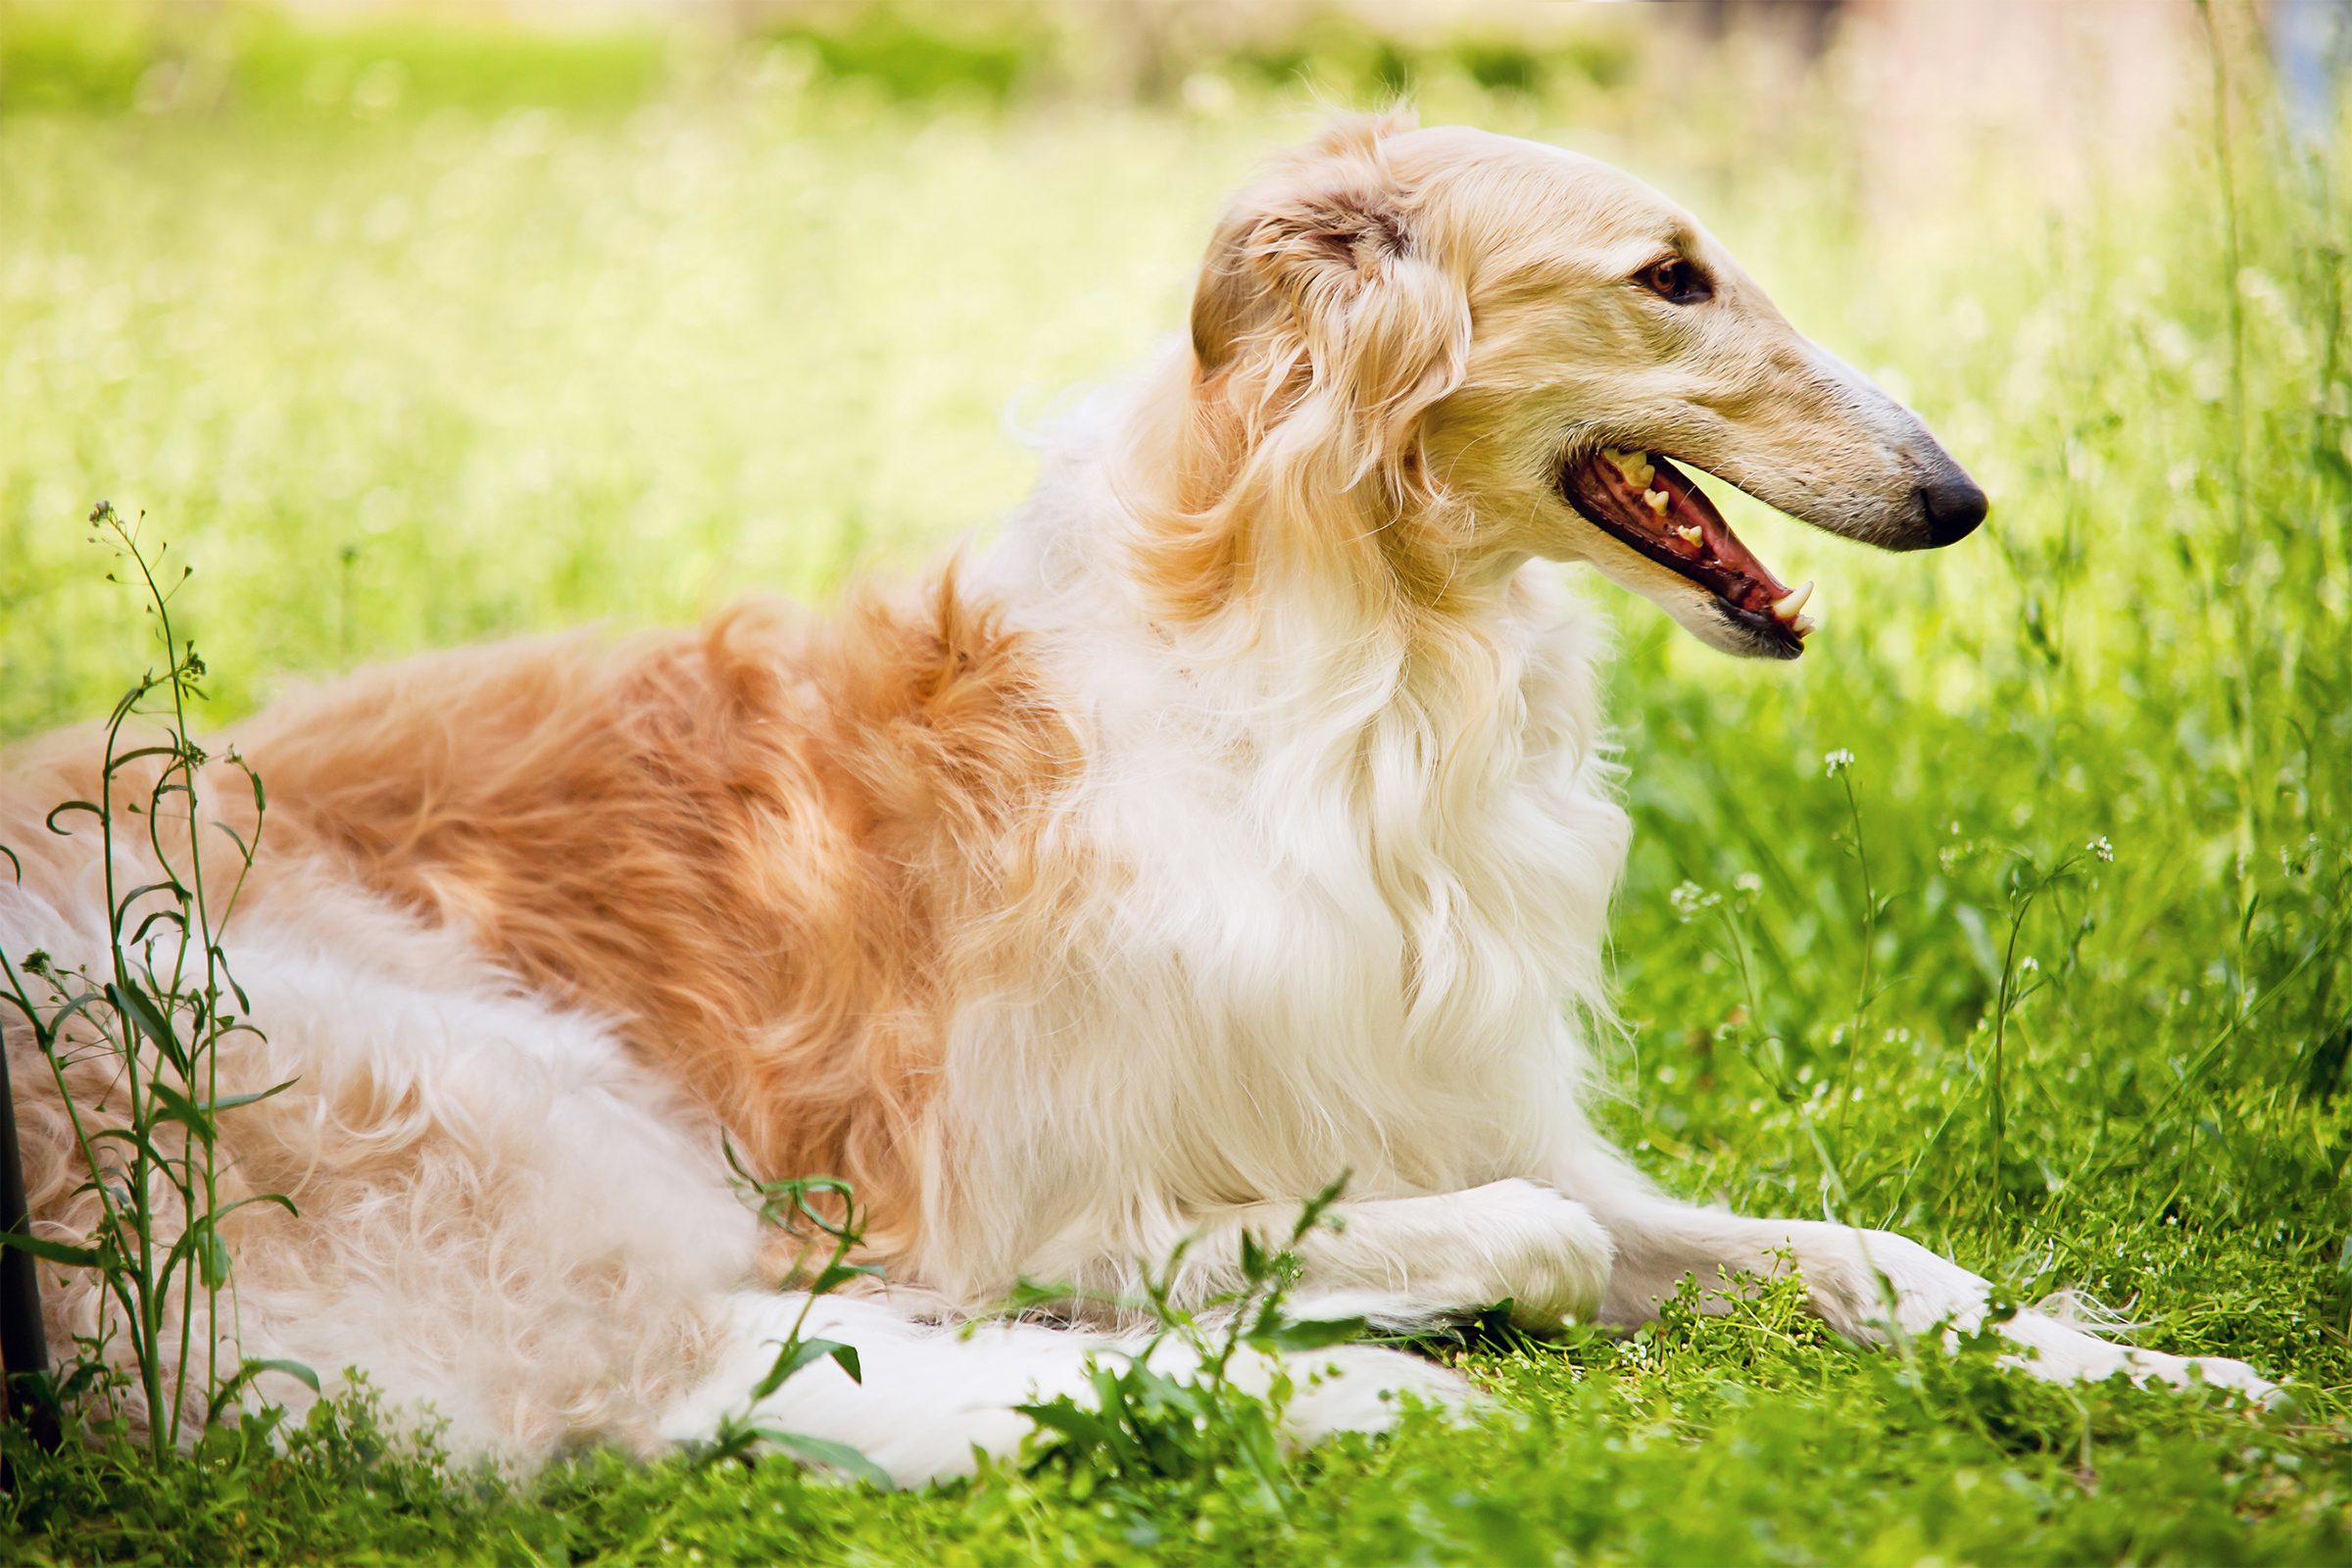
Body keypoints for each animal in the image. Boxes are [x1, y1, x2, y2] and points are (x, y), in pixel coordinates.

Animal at [4, 116, 2277, 1476]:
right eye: (1672, 275)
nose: (1957, 498)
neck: (1355, 682)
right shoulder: (1019, 1178)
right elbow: (1509, 1236)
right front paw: (1314, 1300)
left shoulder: (1453, 1098)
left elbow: (1874, 1261)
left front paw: (2160, 1370)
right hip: (423, 1080)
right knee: (688, 1372)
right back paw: (1357, 1380)